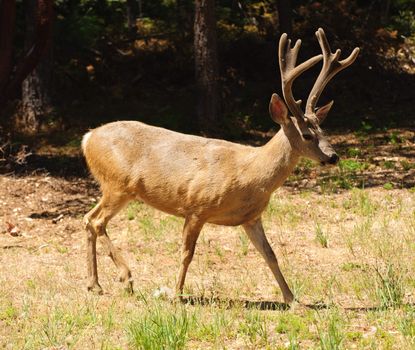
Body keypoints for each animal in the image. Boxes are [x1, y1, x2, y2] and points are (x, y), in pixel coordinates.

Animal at [82, 28, 360, 304]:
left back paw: (94, 284)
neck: (250, 175)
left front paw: (292, 299)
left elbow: (270, 254)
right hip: (118, 185)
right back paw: (126, 277)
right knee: (96, 221)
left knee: (88, 219)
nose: (333, 157)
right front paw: (177, 294)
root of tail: (88, 138)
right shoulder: (196, 207)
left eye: (323, 130)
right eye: (306, 135)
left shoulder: (251, 217)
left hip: (113, 187)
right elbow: (187, 253)